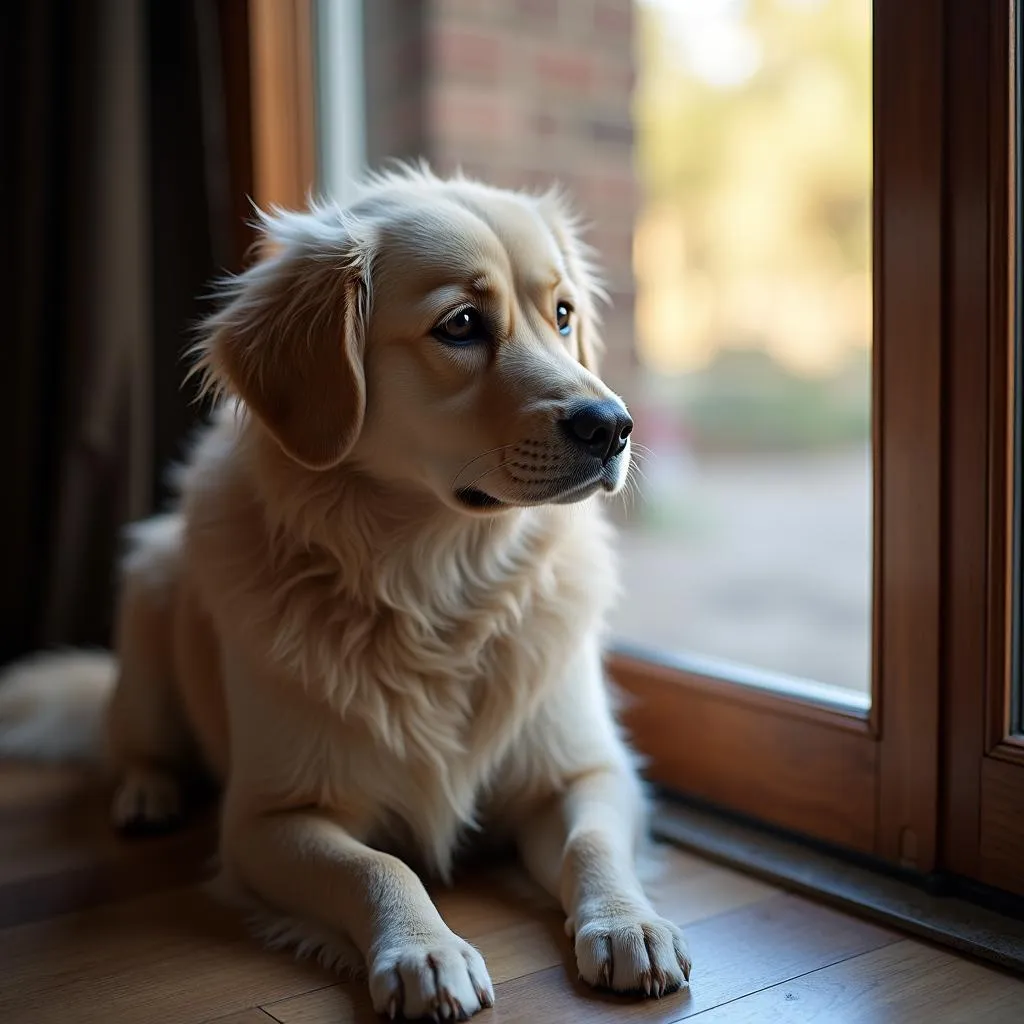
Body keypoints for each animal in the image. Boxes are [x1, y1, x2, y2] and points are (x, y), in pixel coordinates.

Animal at [2, 165, 688, 1015]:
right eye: (461, 325)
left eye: (562, 315)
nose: (613, 425)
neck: (439, 586)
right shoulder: (268, 819)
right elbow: (375, 865)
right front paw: (424, 949)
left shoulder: (584, 770)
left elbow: (592, 843)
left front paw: (628, 921)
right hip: (151, 601)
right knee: (130, 743)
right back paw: (147, 794)